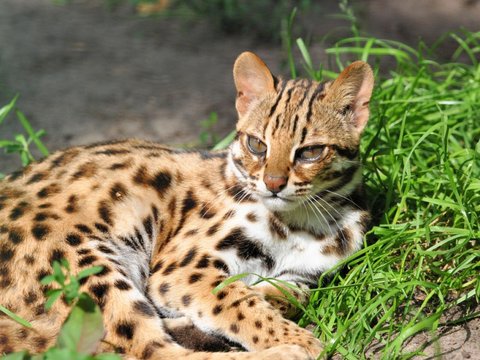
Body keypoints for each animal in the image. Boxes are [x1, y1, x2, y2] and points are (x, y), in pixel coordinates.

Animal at [0, 51, 376, 360]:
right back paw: (288, 351)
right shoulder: (182, 268)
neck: (303, 222)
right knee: (151, 351)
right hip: (85, 262)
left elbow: (287, 295)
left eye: (310, 152)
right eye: (257, 145)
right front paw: (299, 339)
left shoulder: (301, 276)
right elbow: (240, 303)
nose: (273, 184)